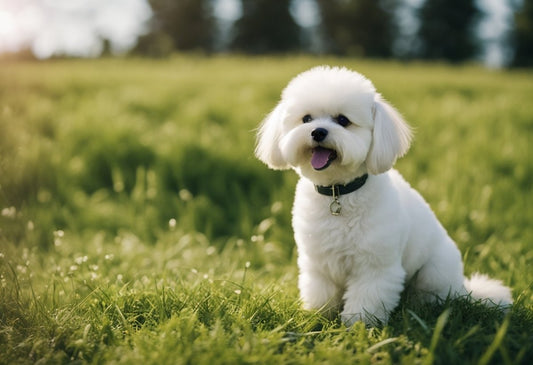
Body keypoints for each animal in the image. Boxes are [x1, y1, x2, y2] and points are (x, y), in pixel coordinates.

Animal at [256, 65, 512, 324]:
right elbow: (321, 296)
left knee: (433, 297)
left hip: (434, 272)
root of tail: (464, 288)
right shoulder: (319, 264)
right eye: (306, 119)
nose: (318, 132)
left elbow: (366, 301)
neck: (339, 193)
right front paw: (318, 319)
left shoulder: (375, 266)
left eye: (343, 120)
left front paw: (357, 326)